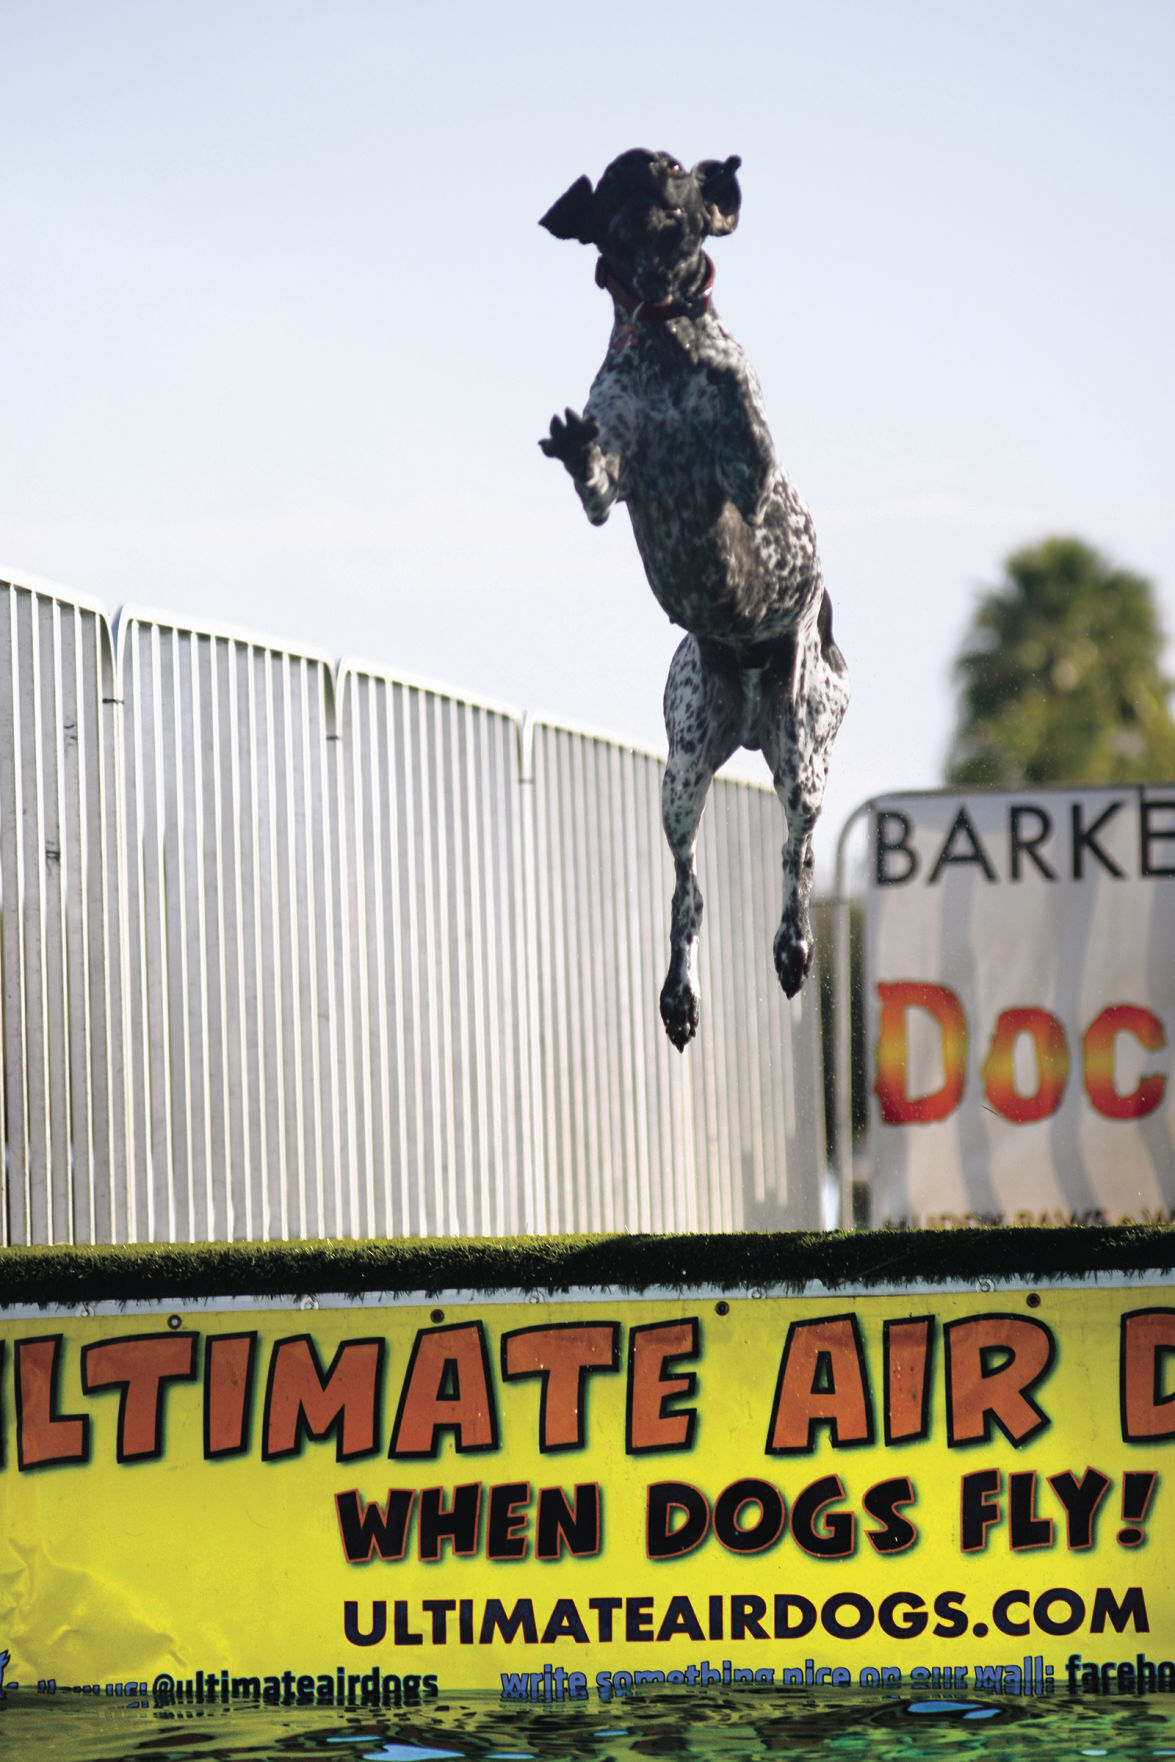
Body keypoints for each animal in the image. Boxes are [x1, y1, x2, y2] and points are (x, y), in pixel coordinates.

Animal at [542, 148, 845, 1043]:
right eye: (616, 179)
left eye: (675, 167)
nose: (647, 169)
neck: (665, 346)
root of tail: (745, 714)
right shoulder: (609, 489)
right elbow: (596, 474)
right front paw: (577, 445)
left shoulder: (753, 479)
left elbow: (741, 418)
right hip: (679, 776)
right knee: (688, 892)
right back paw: (680, 995)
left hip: (802, 757)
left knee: (794, 857)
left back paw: (792, 947)